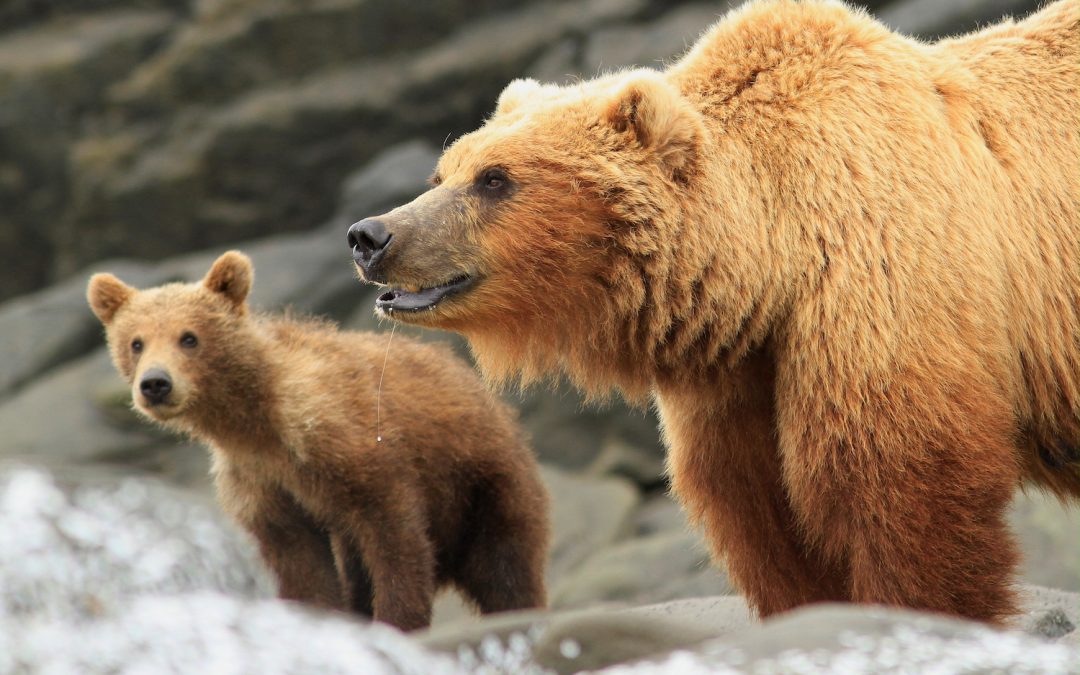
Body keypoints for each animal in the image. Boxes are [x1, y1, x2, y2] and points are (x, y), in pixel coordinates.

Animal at [87, 251, 550, 631]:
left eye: (189, 337)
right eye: (135, 342)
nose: (155, 384)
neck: (257, 423)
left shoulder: (350, 445)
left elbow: (395, 539)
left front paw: (398, 619)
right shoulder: (261, 483)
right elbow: (300, 562)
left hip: (483, 480)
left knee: (504, 563)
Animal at [346, 0, 1080, 624]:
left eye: (495, 179)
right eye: (444, 172)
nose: (371, 235)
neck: (771, 261)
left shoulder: (884, 280)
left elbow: (905, 488)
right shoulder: (738, 377)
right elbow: (761, 519)